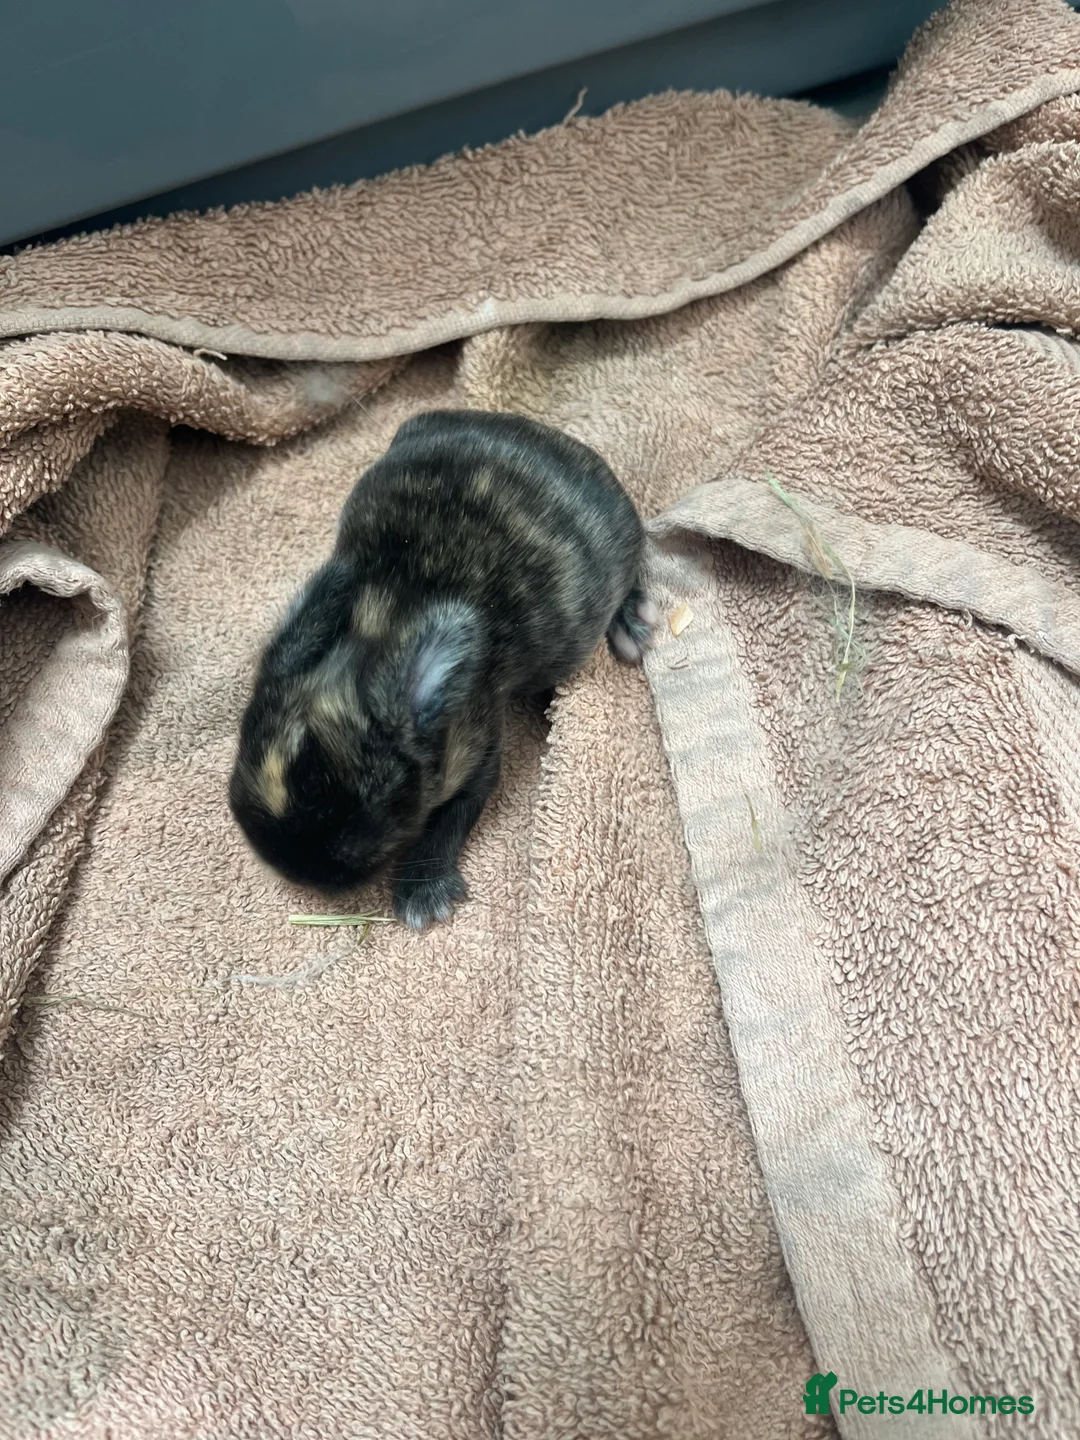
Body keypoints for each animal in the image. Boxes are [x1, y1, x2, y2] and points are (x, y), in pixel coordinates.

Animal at [228, 408, 657, 930]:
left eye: (370, 838)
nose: (300, 874)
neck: (379, 619)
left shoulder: (473, 755)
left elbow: (450, 817)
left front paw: (420, 892)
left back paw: (629, 623)